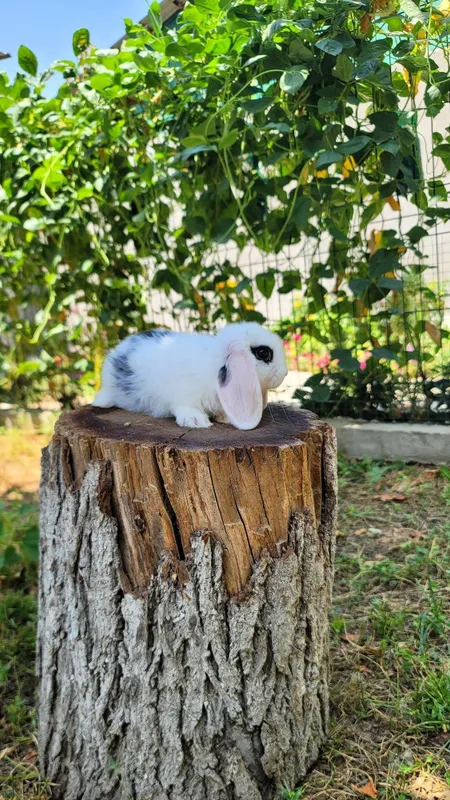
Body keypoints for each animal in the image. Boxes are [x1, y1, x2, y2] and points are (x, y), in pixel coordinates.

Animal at [93, 322, 288, 430]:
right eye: (263, 353)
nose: (284, 372)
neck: (214, 363)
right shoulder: (183, 396)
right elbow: (184, 407)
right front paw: (196, 421)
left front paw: (224, 419)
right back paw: (101, 403)